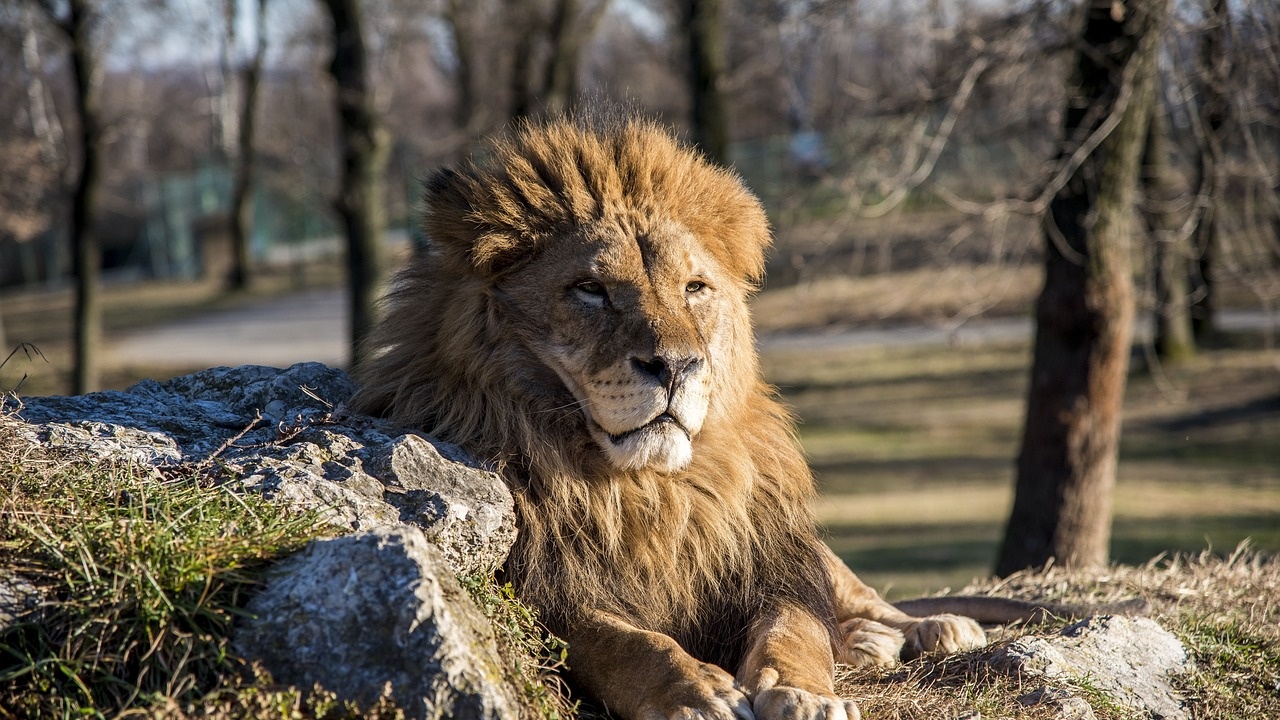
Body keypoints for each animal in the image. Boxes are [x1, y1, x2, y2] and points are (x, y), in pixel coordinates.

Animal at [350, 119, 988, 717]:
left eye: (695, 288)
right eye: (591, 289)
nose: (677, 366)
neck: (649, 490)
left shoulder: (766, 564)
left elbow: (796, 631)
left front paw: (806, 695)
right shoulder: (546, 590)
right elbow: (626, 642)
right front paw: (697, 692)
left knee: (859, 593)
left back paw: (928, 628)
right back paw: (867, 642)